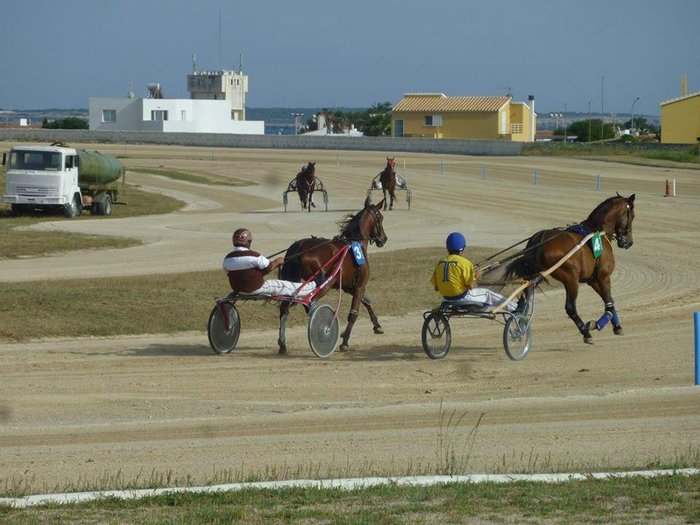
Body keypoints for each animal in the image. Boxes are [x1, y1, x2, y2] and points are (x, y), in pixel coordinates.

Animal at [278, 195, 388, 352]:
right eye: (381, 218)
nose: (384, 239)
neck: (355, 243)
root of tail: (299, 246)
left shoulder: (349, 287)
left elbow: (366, 301)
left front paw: (377, 325)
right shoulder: (360, 286)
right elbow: (353, 314)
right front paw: (345, 341)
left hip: (294, 280)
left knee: (285, 308)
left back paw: (282, 344)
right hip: (324, 285)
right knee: (309, 303)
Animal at [504, 192, 636, 344]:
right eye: (632, 216)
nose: (629, 242)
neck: (597, 232)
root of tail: (541, 238)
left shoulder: (593, 280)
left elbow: (610, 302)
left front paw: (617, 326)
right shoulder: (604, 277)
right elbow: (608, 303)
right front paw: (595, 325)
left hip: (534, 277)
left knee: (523, 303)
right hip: (570, 279)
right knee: (570, 308)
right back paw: (586, 333)